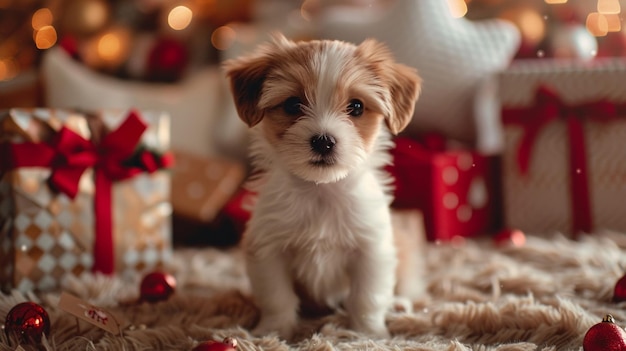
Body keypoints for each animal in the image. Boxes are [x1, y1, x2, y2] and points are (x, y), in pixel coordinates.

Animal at [223, 34, 420, 340]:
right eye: (293, 105)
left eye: (356, 106)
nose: (324, 141)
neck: (320, 190)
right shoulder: (268, 248)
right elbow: (276, 296)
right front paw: (273, 332)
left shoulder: (371, 248)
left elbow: (367, 297)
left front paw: (368, 334)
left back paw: (399, 305)